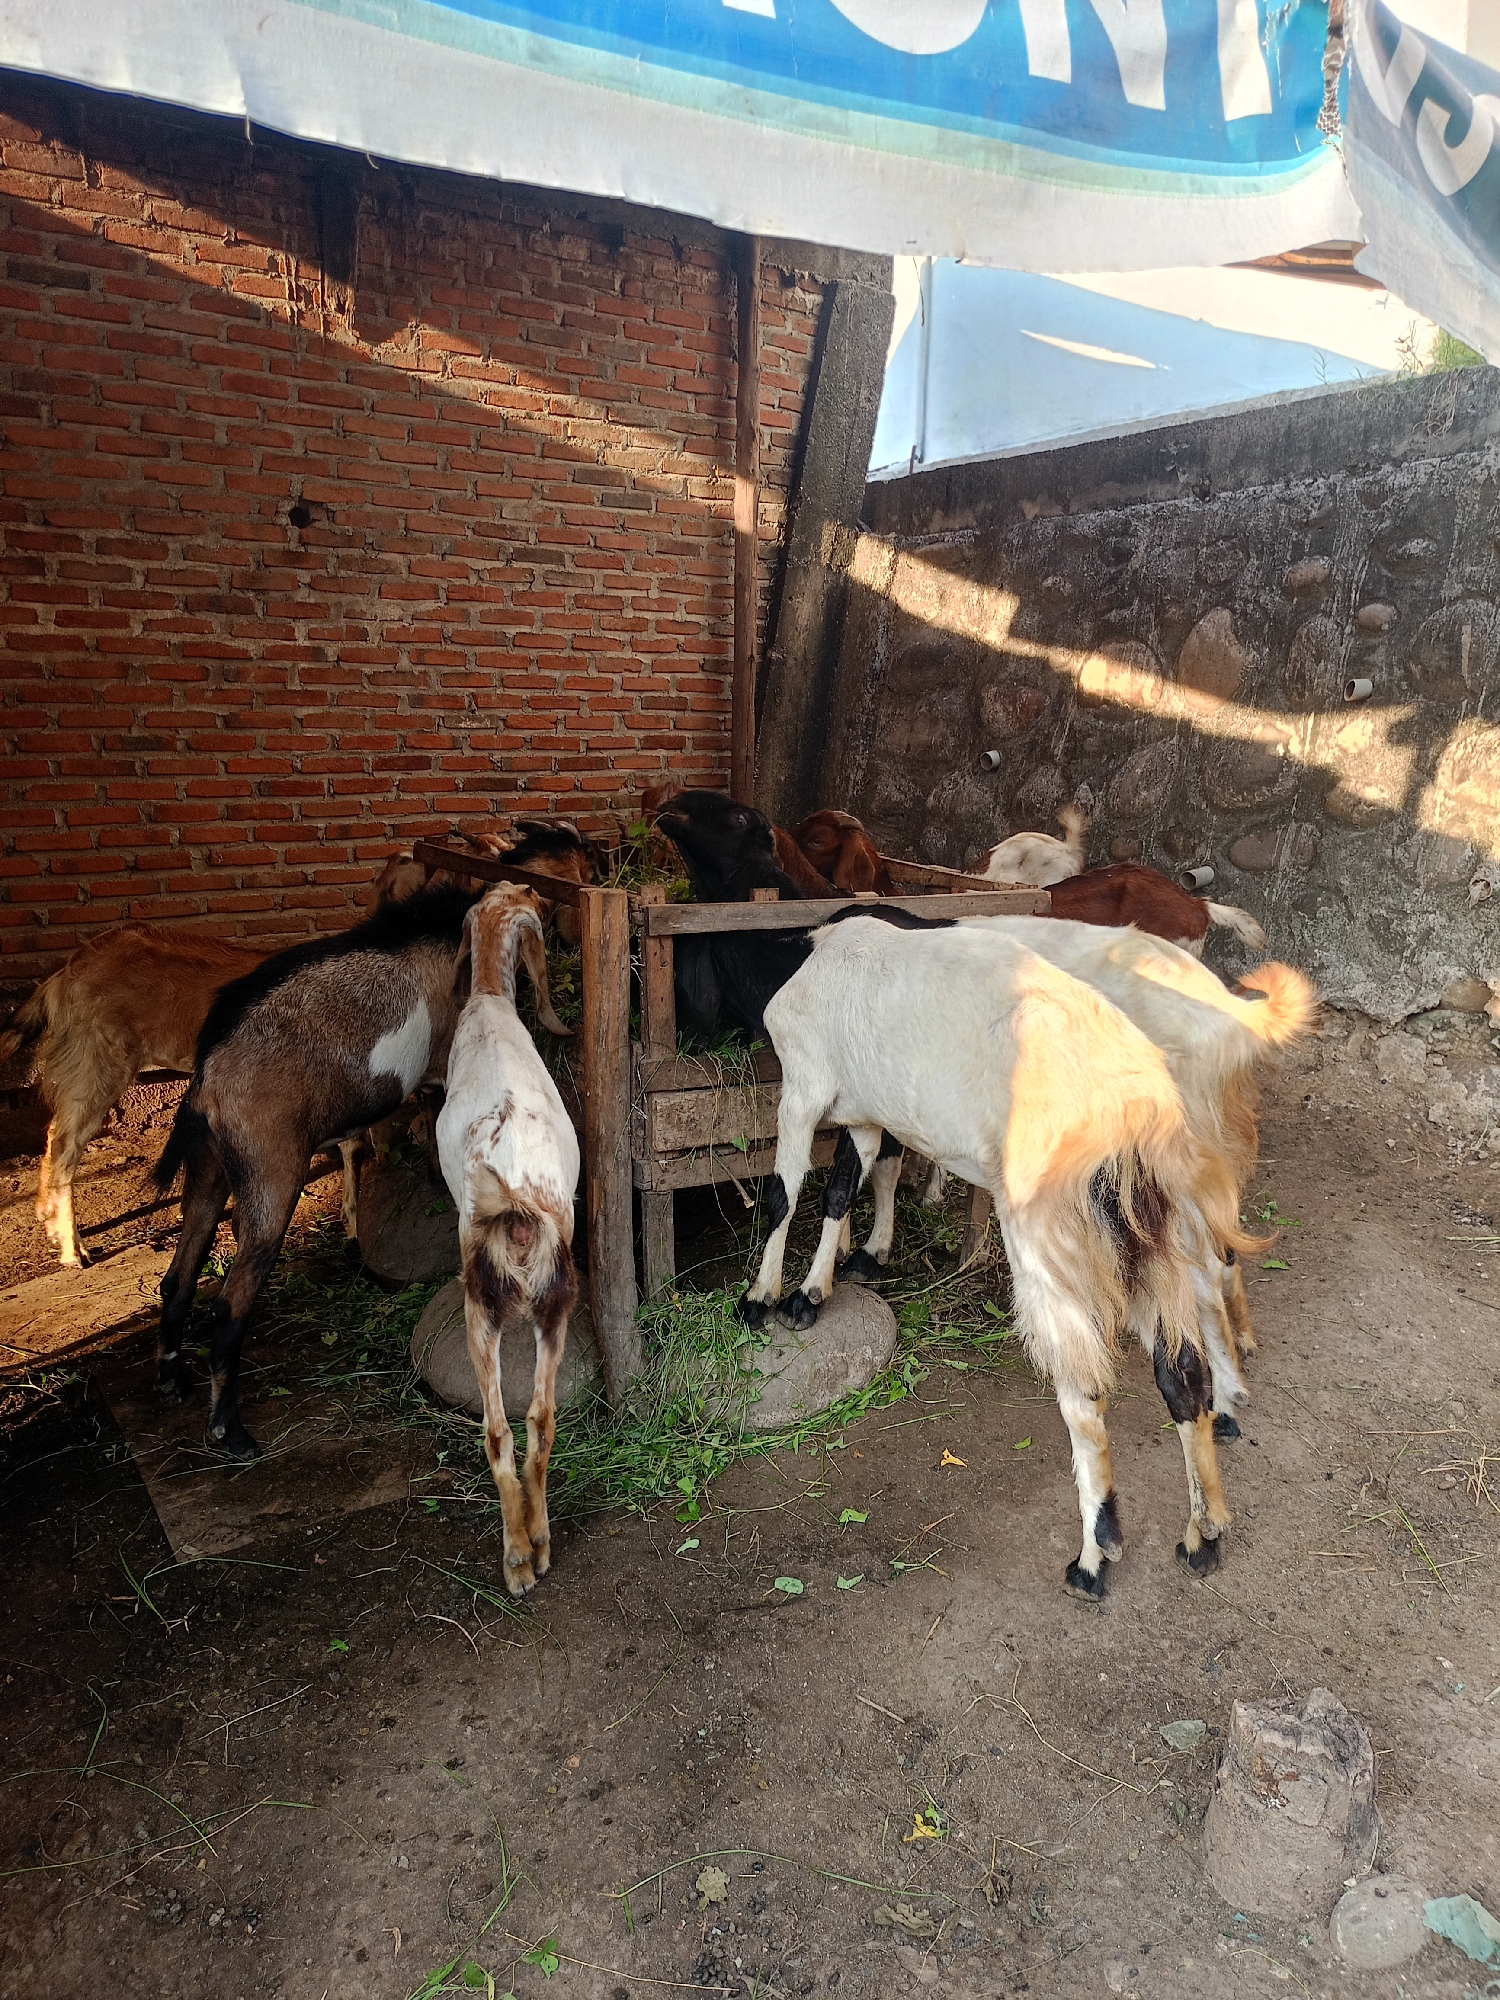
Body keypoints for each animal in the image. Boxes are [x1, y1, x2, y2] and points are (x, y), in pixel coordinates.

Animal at [745, 907, 1259, 1596]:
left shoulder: (802, 1088)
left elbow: (785, 1193)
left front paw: (763, 1297)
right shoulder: (862, 1111)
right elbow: (841, 1188)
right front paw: (814, 1291)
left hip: (1047, 1233)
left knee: (1085, 1390)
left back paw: (1094, 1558)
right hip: (1152, 1231)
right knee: (1183, 1366)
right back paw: (1204, 1531)